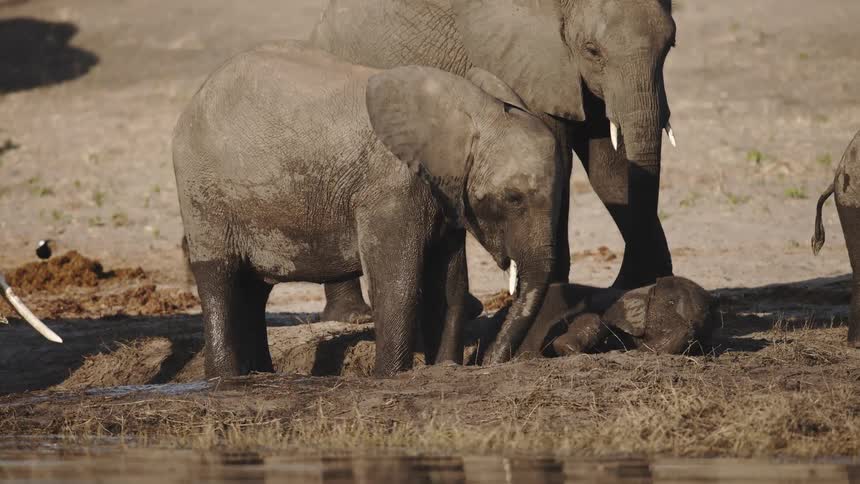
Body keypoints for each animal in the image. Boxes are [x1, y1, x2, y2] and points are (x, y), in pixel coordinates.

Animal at [172, 41, 563, 377]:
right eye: (513, 198)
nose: (487, 362)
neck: (472, 112)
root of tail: (197, 97)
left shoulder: (444, 193)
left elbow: (449, 285)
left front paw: (444, 369)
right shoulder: (390, 188)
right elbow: (397, 285)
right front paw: (390, 376)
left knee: (255, 290)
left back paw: (260, 376)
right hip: (201, 191)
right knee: (219, 279)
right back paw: (224, 379)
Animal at [308, 0, 678, 323]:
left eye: (671, 45)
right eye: (592, 50)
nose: (628, 279)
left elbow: (610, 169)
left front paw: (644, 284)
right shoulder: (527, 61)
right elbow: (558, 155)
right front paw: (557, 296)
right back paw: (355, 316)